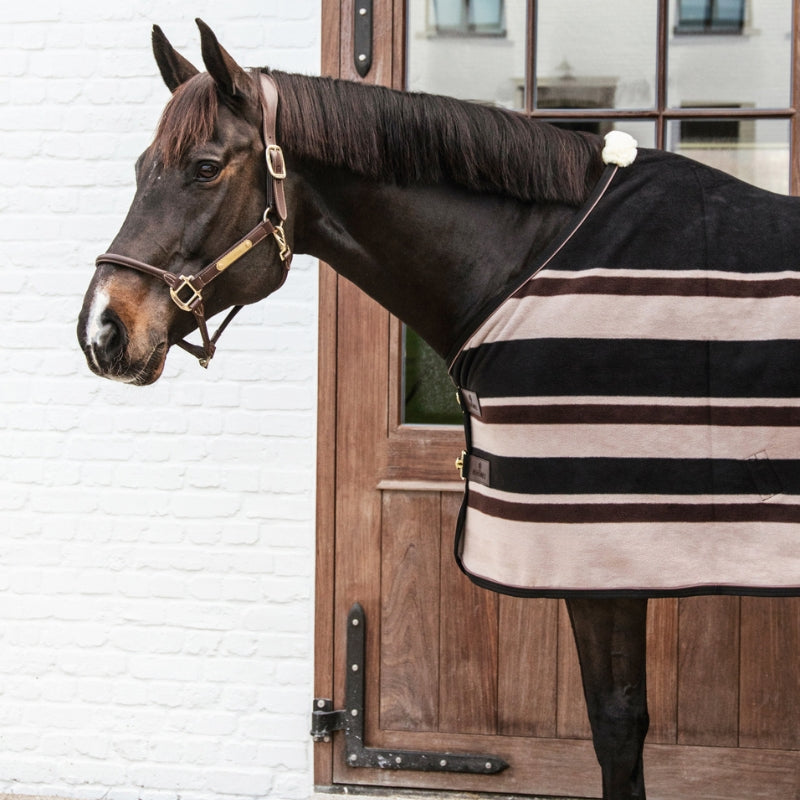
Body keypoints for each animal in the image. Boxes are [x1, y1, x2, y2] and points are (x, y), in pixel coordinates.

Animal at [75, 18, 800, 800]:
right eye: (142, 166)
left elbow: (617, 726)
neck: (527, 257)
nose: (102, 330)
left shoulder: (601, 553)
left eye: (206, 168)